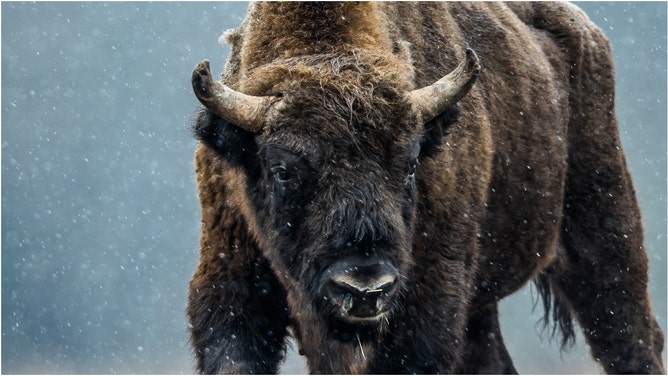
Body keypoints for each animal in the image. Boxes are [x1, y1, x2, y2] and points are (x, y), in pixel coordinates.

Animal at [185, 2, 664, 374]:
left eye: (411, 163)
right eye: (283, 169)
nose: (365, 288)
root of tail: (588, 35)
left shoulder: (429, 298)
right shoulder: (231, 281)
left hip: (607, 231)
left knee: (630, 335)